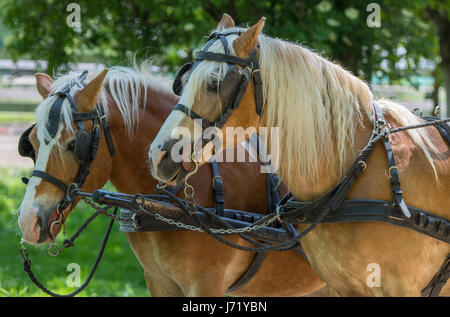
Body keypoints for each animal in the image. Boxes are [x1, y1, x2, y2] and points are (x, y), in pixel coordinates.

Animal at [15, 63, 326, 296]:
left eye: (73, 145)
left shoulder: (207, 284)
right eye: (32, 143)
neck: (171, 200)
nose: (29, 221)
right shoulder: (158, 282)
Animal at [149, 14, 448, 296]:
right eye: (183, 81)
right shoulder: (340, 286)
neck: (355, 170)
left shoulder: (400, 287)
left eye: (215, 83)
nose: (157, 155)